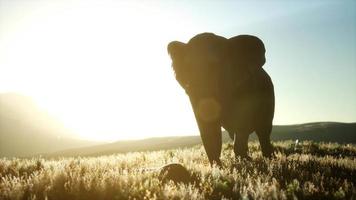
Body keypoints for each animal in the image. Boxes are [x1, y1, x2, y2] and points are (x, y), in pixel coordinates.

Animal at [168, 32, 276, 166]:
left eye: (215, 65)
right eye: (187, 68)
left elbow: (242, 124)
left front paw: (244, 163)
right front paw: (218, 167)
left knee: (263, 132)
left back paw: (269, 159)